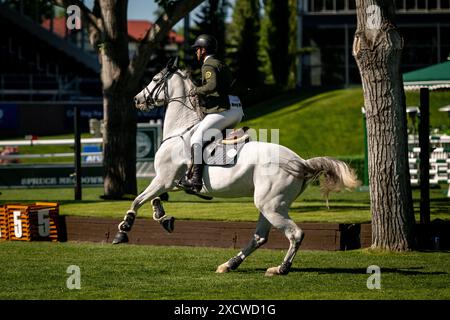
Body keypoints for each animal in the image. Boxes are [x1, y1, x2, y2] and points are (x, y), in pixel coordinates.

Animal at [114, 59, 360, 276]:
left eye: (155, 79)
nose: (137, 99)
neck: (180, 131)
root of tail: (300, 162)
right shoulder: (170, 182)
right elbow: (153, 199)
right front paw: (163, 217)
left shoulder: (163, 179)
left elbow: (138, 200)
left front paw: (124, 229)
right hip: (270, 205)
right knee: (260, 237)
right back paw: (230, 264)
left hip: (270, 205)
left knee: (295, 234)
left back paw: (280, 268)